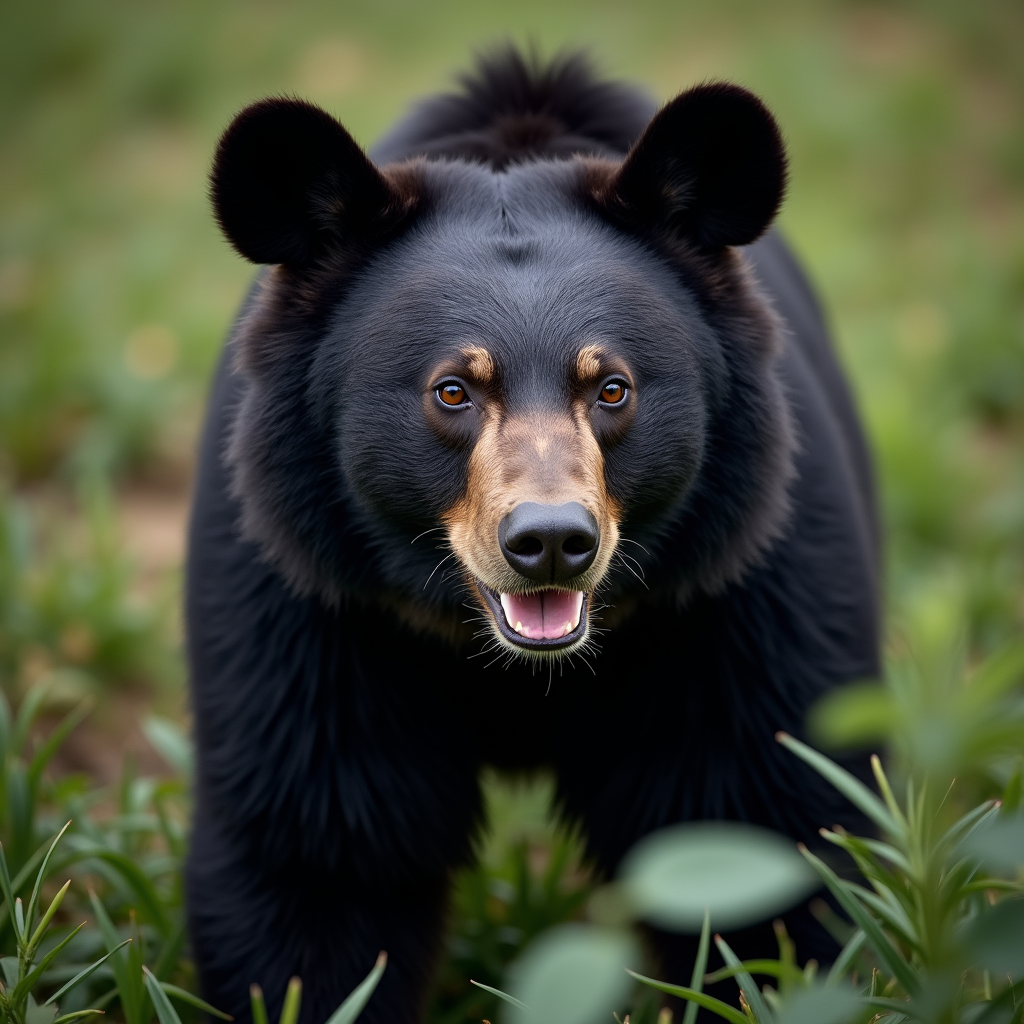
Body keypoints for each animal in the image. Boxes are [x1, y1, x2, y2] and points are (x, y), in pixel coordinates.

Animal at [185, 47, 879, 1024]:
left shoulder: (740, 592)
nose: (551, 541)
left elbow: (766, 830)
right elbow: (318, 854)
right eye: (452, 391)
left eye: (613, 387)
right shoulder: (311, 603)